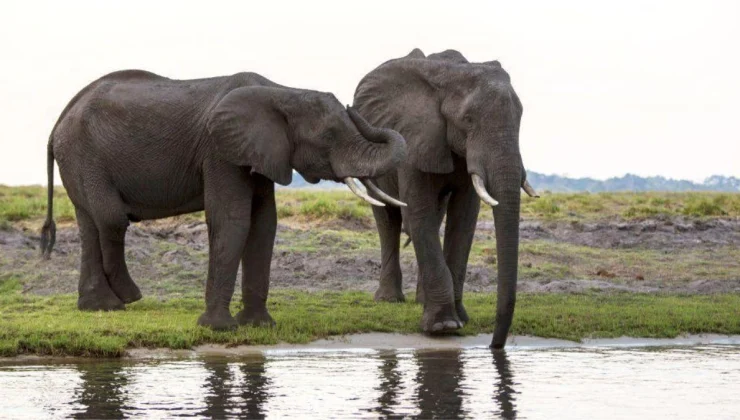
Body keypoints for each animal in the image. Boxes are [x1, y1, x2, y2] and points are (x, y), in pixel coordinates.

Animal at [39, 70, 410, 330]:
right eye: (329, 136)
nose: (351, 106)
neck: (282, 91)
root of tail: (59, 120)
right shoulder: (220, 151)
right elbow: (232, 220)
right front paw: (218, 328)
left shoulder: (260, 153)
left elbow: (264, 224)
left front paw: (259, 326)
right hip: (84, 156)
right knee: (110, 218)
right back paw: (128, 297)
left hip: (78, 158)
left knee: (90, 224)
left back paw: (101, 307)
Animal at [352, 48, 536, 348]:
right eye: (468, 119)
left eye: (520, 117)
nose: (494, 346)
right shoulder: (414, 137)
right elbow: (419, 211)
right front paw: (443, 326)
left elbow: (464, 219)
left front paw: (461, 319)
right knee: (388, 219)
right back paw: (389, 300)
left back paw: (420, 301)